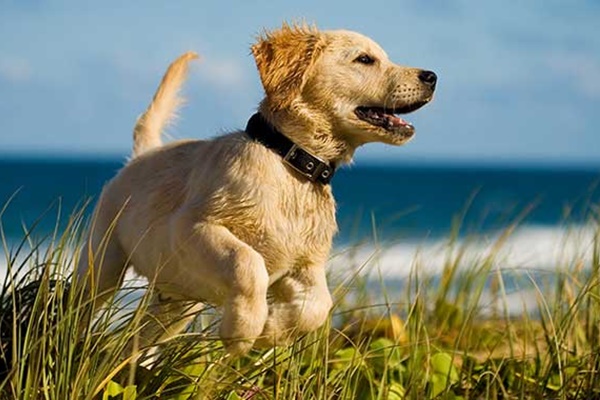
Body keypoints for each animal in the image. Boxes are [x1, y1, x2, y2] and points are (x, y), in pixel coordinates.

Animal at [77, 23, 438, 354]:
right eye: (365, 59)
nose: (432, 76)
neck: (292, 163)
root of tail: (143, 154)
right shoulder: (193, 226)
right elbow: (247, 263)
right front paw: (243, 330)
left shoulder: (306, 263)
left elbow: (319, 305)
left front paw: (272, 330)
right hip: (103, 263)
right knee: (79, 305)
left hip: (176, 304)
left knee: (132, 344)